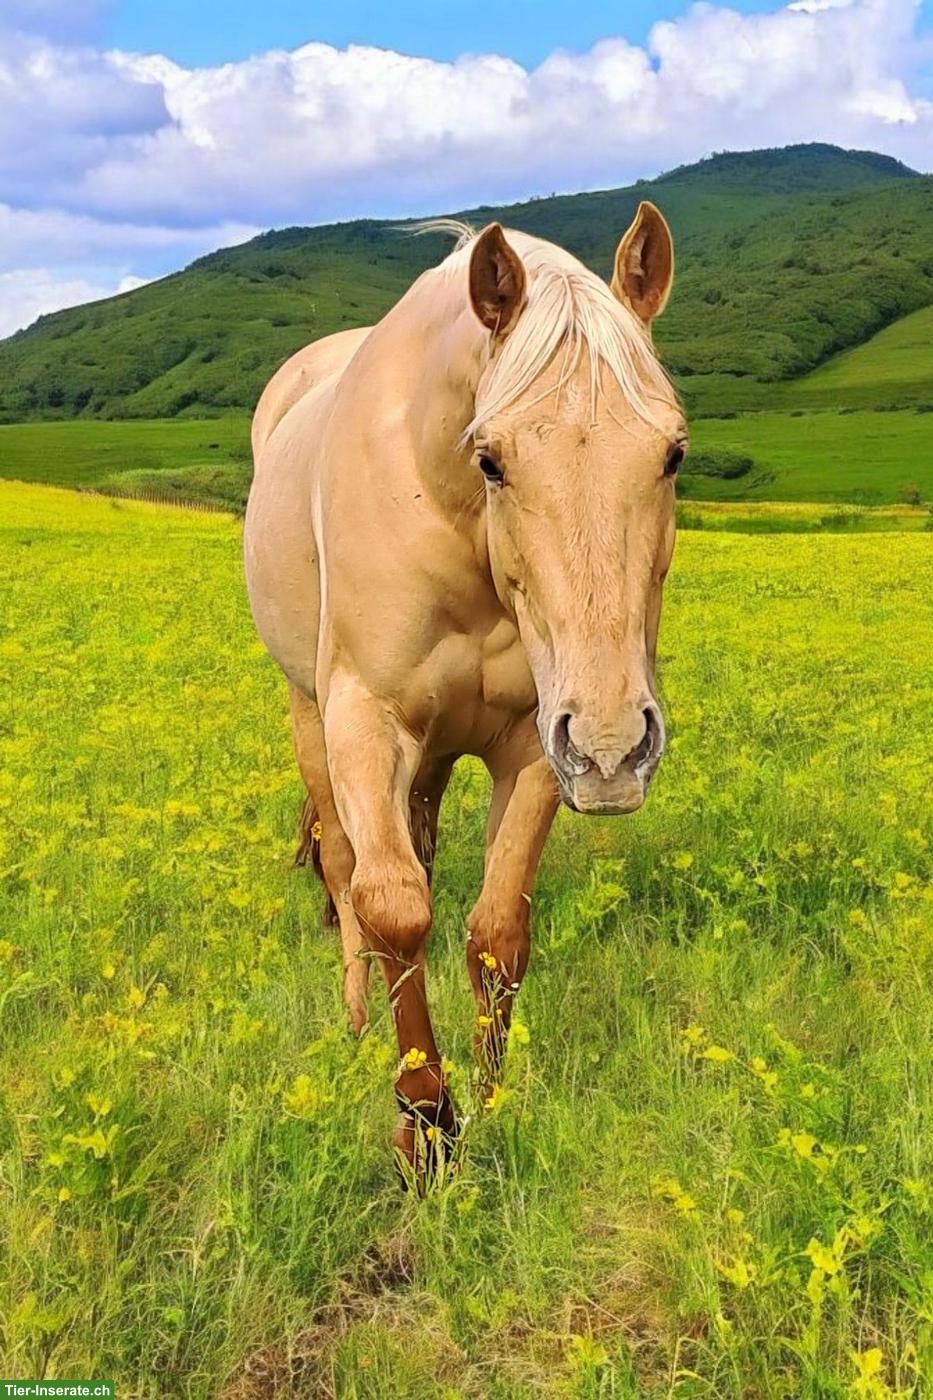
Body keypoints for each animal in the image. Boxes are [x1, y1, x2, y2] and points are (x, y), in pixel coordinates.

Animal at [244, 203, 686, 1176]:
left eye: (673, 454)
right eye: (491, 459)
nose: (614, 748)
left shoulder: (536, 741)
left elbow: (494, 931)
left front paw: (489, 1099)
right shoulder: (365, 720)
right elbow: (394, 909)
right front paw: (423, 1124)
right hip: (309, 714)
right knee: (345, 866)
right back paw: (355, 1015)